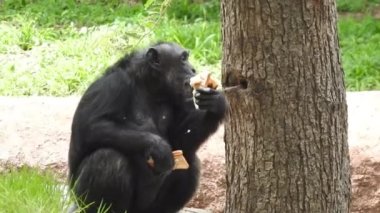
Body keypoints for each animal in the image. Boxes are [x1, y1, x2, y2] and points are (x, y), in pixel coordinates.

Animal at [68, 42, 227, 213]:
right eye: (183, 59)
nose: (193, 69)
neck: (150, 86)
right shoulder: (112, 84)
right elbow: (90, 126)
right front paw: (158, 147)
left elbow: (180, 139)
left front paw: (216, 103)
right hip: (82, 201)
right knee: (108, 159)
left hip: (148, 208)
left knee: (190, 162)